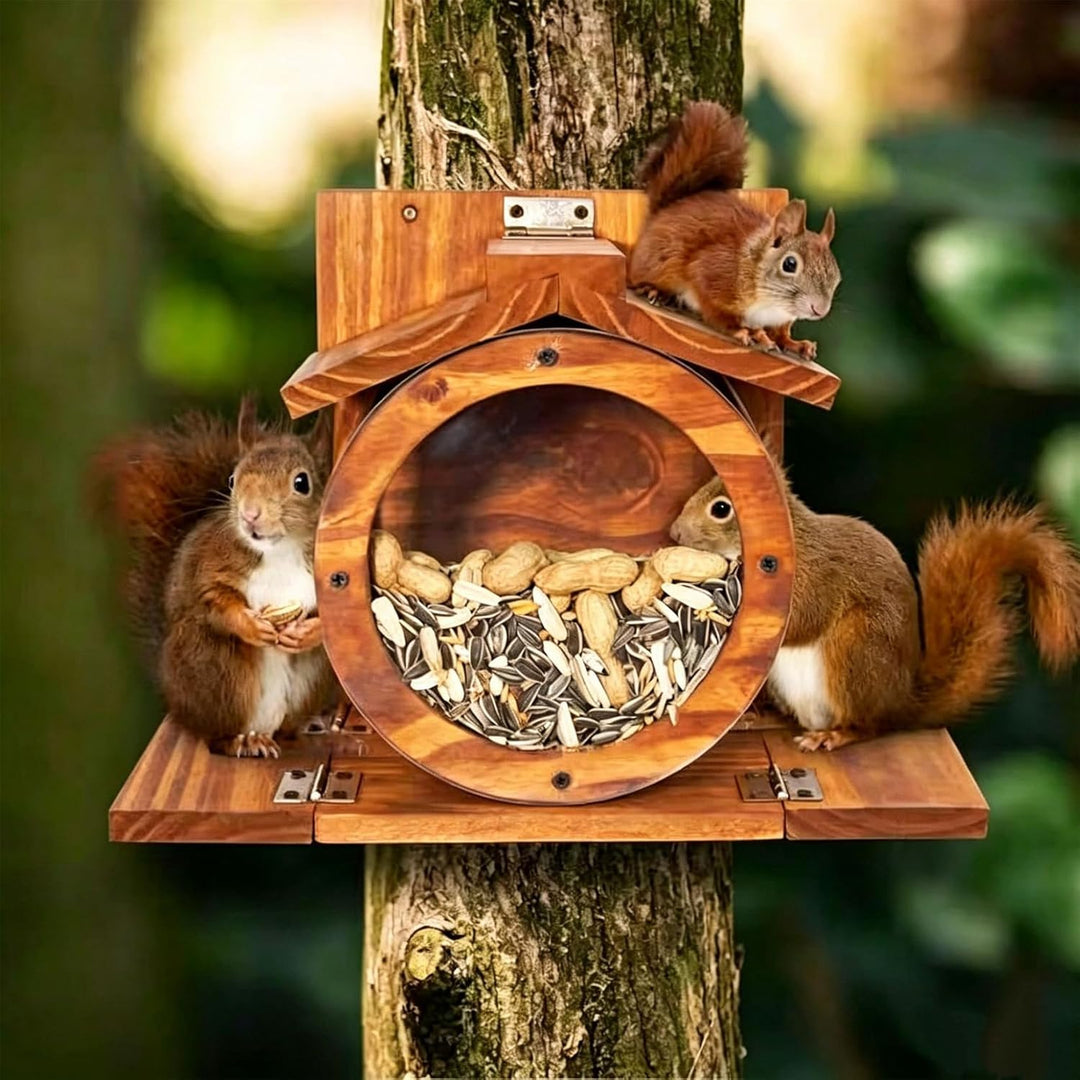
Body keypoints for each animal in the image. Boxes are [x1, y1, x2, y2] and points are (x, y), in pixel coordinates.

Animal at [95, 397, 336, 758]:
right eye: (233, 480)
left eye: (301, 483)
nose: (250, 514)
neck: (280, 551)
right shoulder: (208, 566)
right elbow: (214, 601)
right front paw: (252, 626)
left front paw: (306, 632)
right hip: (217, 670)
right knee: (216, 736)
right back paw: (242, 742)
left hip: (310, 680)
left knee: (288, 727)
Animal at [629, 101, 840, 361]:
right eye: (790, 264)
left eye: (837, 275)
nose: (819, 309)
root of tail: (666, 209)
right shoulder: (713, 273)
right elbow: (718, 313)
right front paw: (746, 331)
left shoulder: (780, 318)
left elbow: (780, 333)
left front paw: (795, 344)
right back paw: (655, 290)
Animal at [670, 472, 1080, 751]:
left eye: (721, 509)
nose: (674, 533)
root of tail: (901, 703)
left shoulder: (818, 577)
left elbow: (804, 619)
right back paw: (758, 717)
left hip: (856, 648)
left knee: (868, 726)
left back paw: (833, 736)